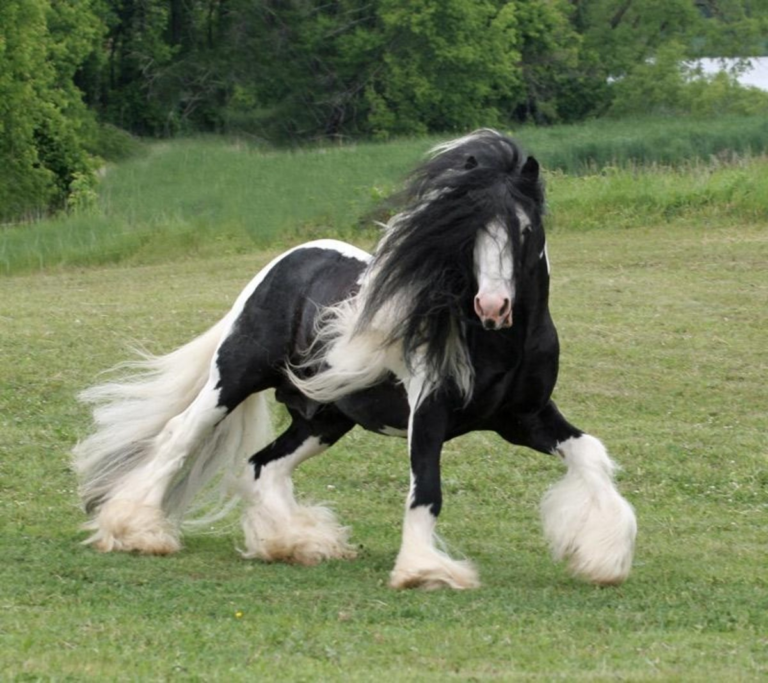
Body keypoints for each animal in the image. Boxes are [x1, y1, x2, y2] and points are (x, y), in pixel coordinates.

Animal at [72, 129, 637, 590]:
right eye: (466, 232)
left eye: (523, 230)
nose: (493, 307)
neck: (501, 345)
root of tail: (285, 263)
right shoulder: (430, 415)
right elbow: (426, 489)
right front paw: (423, 572)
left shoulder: (525, 417)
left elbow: (591, 453)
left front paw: (603, 557)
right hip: (233, 378)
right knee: (178, 438)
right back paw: (136, 531)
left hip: (324, 418)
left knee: (263, 466)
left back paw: (295, 543)